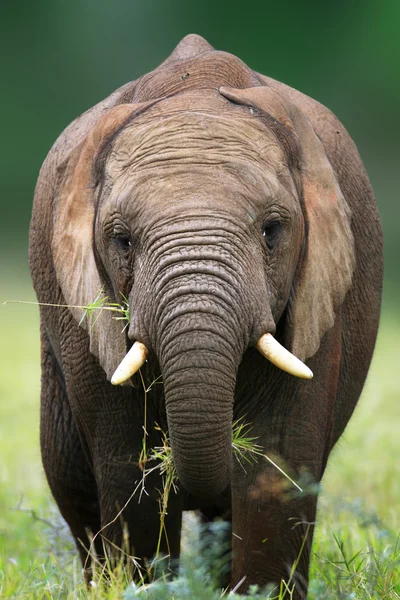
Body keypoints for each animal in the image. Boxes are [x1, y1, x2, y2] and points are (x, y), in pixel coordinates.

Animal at [29, 35, 382, 596]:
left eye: (272, 231)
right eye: (121, 240)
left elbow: (273, 463)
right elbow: (133, 472)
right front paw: (149, 586)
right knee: (73, 488)